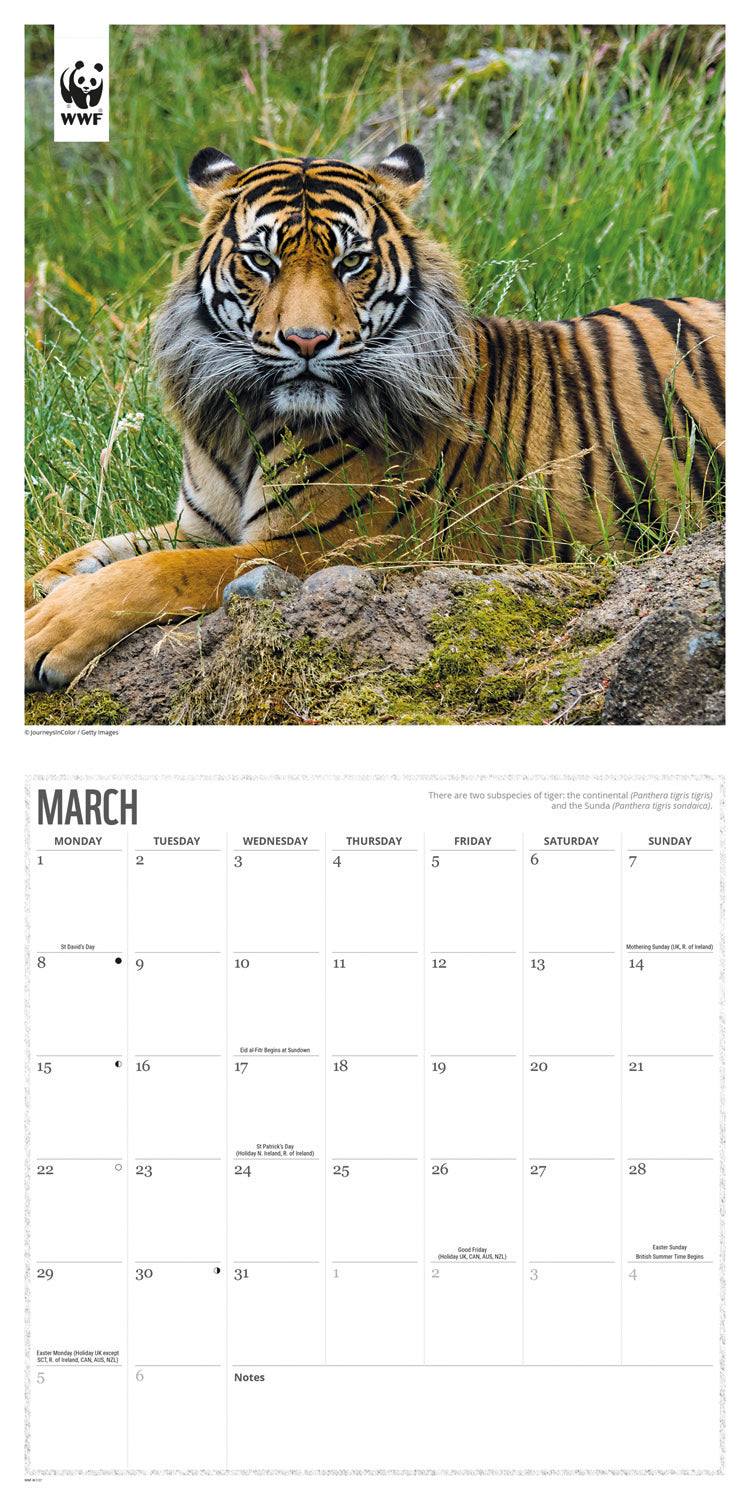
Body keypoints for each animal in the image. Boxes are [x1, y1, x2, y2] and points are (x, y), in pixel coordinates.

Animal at [25, 142, 725, 692]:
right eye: (262, 261)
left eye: (351, 262)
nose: (306, 341)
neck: (240, 421)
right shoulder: (203, 526)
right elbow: (100, 551)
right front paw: (48, 583)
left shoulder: (323, 546)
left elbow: (158, 571)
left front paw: (50, 629)